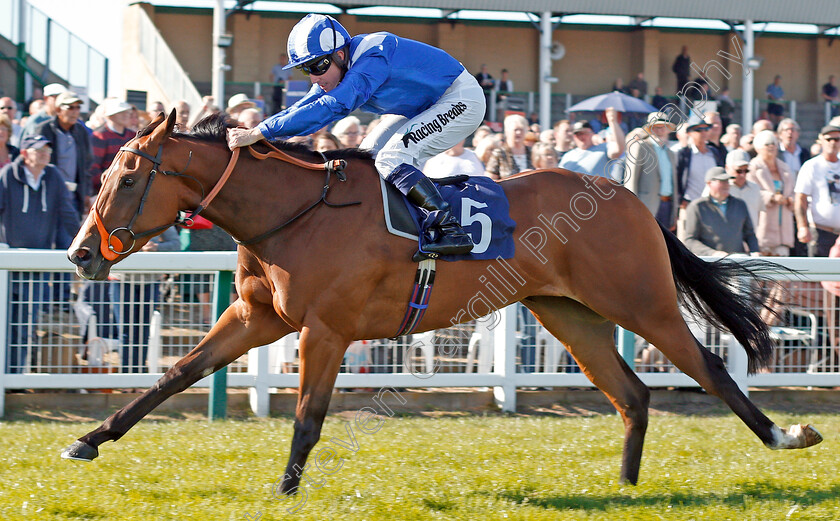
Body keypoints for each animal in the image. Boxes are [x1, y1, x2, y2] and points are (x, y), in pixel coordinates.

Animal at [60, 111, 820, 490]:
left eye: (128, 178)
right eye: (107, 172)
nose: (81, 253)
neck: (294, 211)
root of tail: (629, 195)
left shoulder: (325, 330)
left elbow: (307, 418)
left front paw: (284, 492)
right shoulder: (257, 317)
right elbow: (173, 376)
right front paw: (89, 440)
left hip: (643, 303)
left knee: (710, 369)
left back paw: (785, 435)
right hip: (569, 313)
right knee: (631, 393)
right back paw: (627, 487)